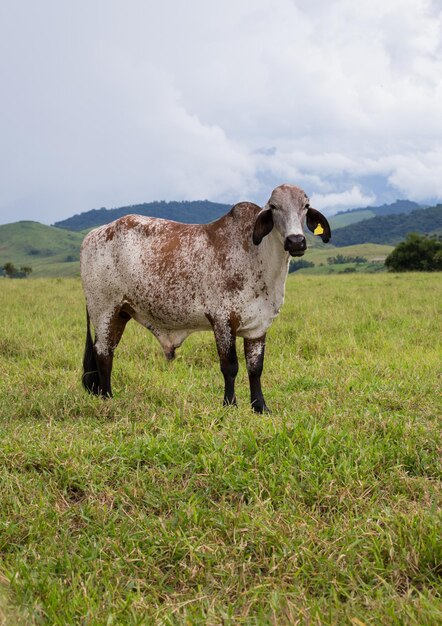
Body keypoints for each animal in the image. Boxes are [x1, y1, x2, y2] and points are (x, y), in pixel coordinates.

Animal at [80, 183, 332, 412]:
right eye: (274, 206)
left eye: (305, 206)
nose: (296, 241)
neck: (258, 258)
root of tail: (93, 234)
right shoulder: (222, 320)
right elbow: (230, 366)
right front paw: (229, 405)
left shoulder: (258, 326)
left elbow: (255, 368)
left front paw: (260, 406)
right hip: (104, 310)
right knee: (103, 354)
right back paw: (108, 399)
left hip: (121, 313)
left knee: (107, 352)